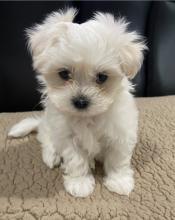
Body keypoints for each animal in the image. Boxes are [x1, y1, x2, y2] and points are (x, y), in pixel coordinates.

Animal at [8, 8, 147, 198]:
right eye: (64, 74)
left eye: (102, 77)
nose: (80, 101)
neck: (89, 118)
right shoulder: (67, 136)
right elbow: (76, 160)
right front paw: (80, 183)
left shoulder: (121, 131)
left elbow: (118, 159)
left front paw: (119, 181)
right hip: (50, 127)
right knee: (46, 140)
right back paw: (52, 156)